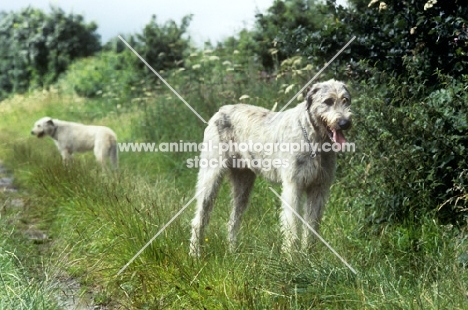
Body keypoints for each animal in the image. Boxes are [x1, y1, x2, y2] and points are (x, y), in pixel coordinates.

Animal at [189, 78, 352, 256]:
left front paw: (309, 256)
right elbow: (292, 224)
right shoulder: (293, 186)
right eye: (328, 101)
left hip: (243, 185)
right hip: (211, 177)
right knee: (199, 219)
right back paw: (195, 254)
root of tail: (220, 111)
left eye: (346, 100)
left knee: (233, 220)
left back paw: (232, 251)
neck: (314, 139)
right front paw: (292, 258)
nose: (345, 123)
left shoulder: (319, 188)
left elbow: (312, 227)